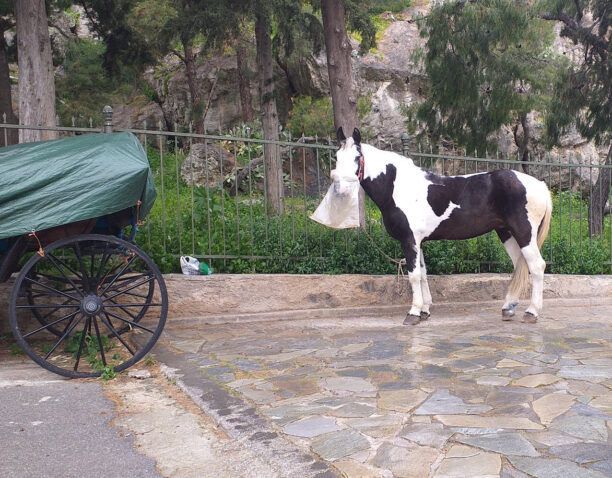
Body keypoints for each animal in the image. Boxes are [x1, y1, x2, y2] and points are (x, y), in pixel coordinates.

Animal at [334, 128, 556, 324]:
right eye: (336, 157)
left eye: (357, 158)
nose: (340, 189)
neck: (399, 188)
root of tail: (539, 185)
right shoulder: (418, 242)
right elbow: (423, 274)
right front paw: (424, 311)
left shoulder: (409, 240)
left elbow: (413, 276)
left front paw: (413, 313)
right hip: (506, 233)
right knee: (520, 265)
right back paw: (508, 308)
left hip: (524, 233)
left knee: (537, 266)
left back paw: (532, 312)